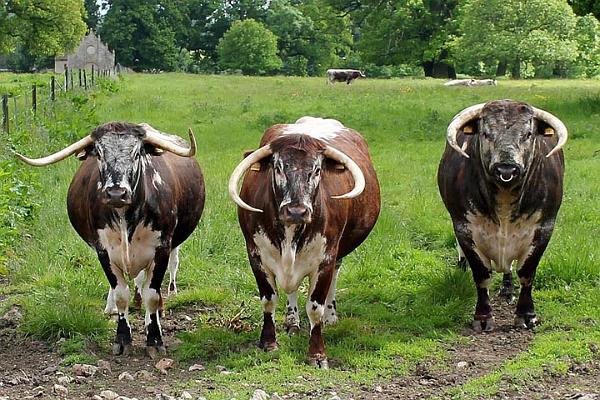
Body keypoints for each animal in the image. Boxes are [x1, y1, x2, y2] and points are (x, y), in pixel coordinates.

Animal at [229, 116, 380, 368]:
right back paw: (292, 321)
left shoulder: (325, 258)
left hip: (337, 254)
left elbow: (315, 307)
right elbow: (269, 300)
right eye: (278, 167)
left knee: (333, 278)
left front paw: (317, 354)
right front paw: (269, 343)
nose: (296, 211)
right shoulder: (255, 255)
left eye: (317, 170)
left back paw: (331, 316)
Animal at [436, 99, 568, 332]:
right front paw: (482, 317)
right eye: (486, 133)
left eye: (528, 134)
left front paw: (526, 315)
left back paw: (507, 290)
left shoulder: (544, 227)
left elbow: (526, 272)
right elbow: (481, 274)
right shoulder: (464, 228)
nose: (506, 168)